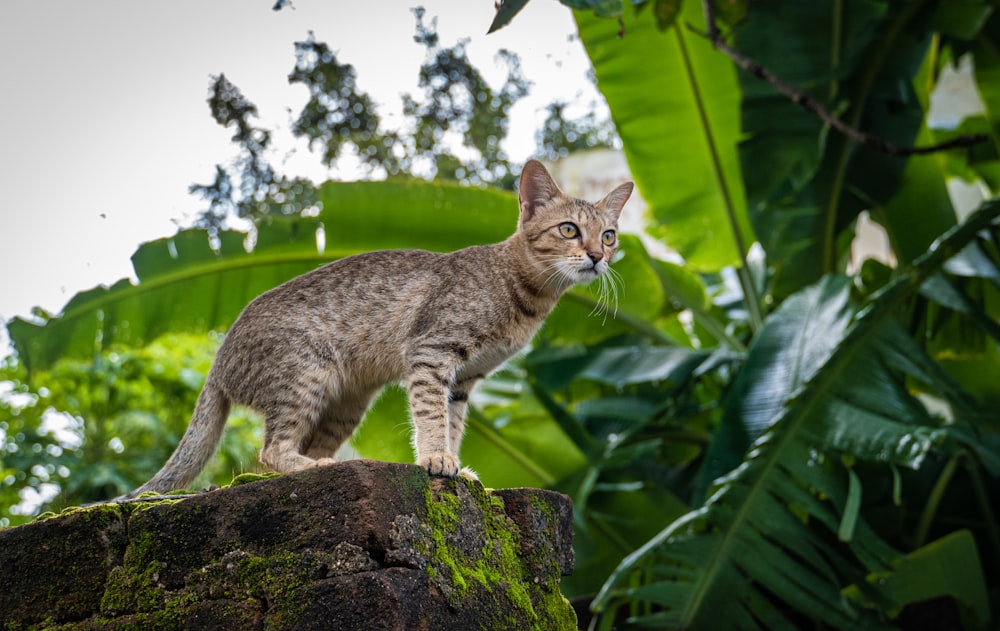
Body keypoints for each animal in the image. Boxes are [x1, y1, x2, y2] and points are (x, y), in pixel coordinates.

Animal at [121, 159, 628, 498]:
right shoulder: (432, 352)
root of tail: (218, 359)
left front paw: (457, 465)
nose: (598, 257)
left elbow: (453, 423)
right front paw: (436, 459)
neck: (524, 294)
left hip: (347, 404)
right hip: (306, 376)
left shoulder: (464, 380)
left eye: (608, 236)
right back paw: (314, 467)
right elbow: (430, 416)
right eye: (568, 229)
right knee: (270, 451)